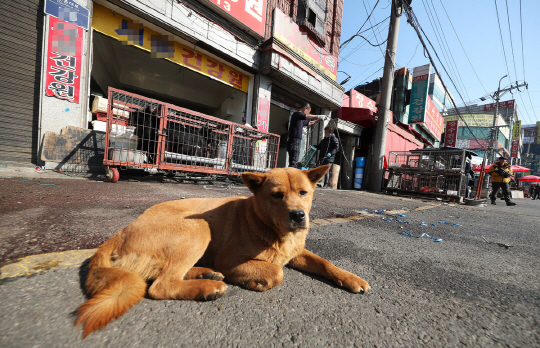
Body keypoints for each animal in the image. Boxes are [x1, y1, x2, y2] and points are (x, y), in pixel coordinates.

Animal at [76, 166, 370, 338]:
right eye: (276, 195)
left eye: (303, 192)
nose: (299, 215)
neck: (271, 229)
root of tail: (120, 232)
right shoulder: (229, 259)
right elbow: (276, 271)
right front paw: (255, 281)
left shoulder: (298, 252)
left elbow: (325, 263)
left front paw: (351, 278)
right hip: (198, 227)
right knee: (161, 285)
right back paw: (208, 286)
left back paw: (205, 274)